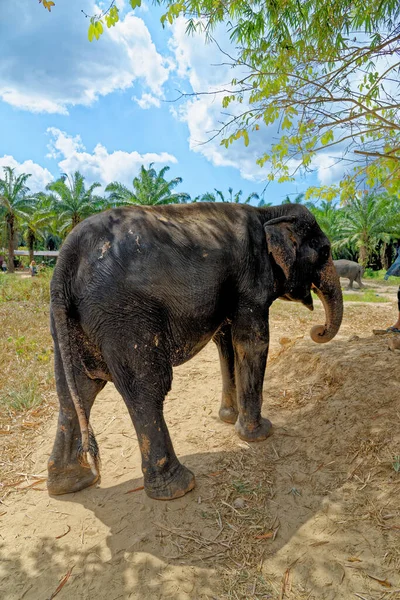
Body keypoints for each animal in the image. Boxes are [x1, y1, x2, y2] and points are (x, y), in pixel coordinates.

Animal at [46, 204, 340, 500]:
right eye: (325, 251)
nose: (317, 330)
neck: (268, 211)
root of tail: (66, 258)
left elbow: (227, 343)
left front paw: (229, 419)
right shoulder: (252, 281)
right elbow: (252, 341)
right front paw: (259, 434)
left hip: (69, 322)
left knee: (76, 391)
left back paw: (74, 483)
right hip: (124, 316)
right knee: (146, 390)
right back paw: (179, 487)